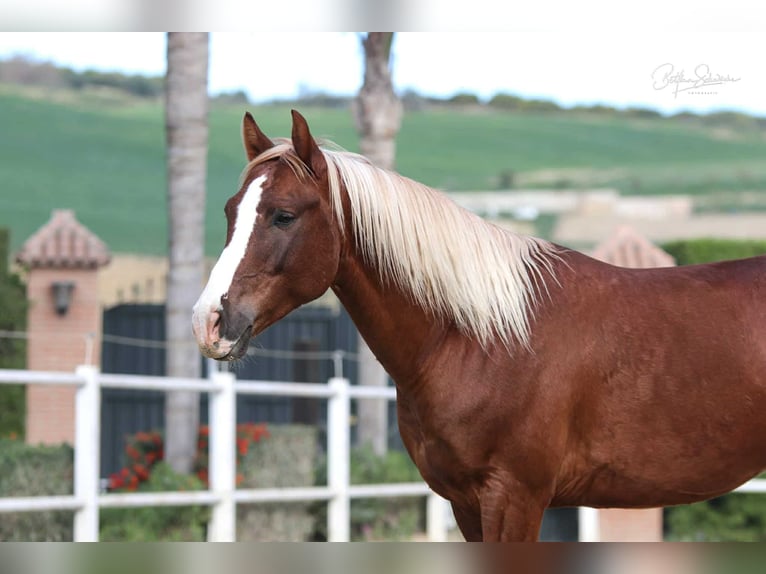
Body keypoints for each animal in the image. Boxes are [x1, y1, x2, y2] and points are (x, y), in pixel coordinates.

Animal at [195, 110, 766, 544]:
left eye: (284, 215)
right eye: (229, 210)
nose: (209, 320)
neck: (481, 341)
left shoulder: (515, 498)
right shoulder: (466, 504)